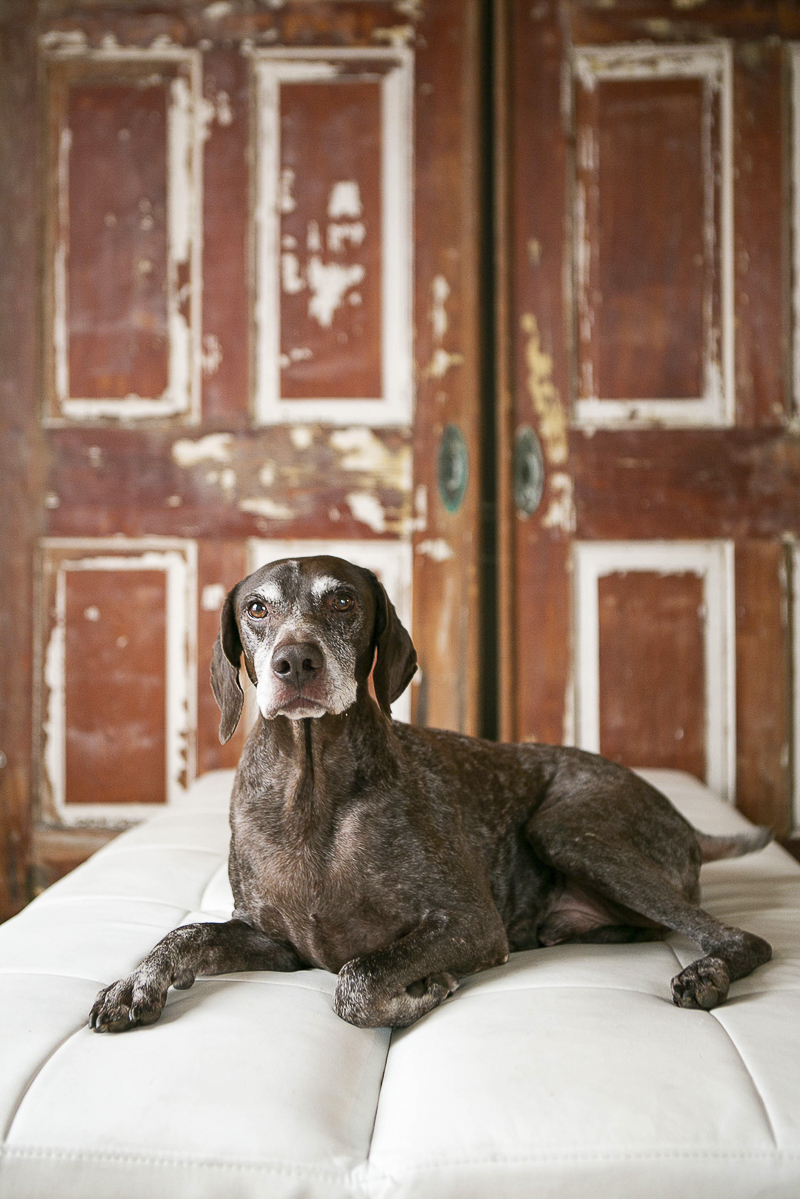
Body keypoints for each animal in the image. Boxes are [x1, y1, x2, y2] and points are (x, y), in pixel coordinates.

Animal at [90, 551, 772, 1031]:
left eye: (343, 600)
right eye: (257, 609)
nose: (295, 662)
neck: (311, 791)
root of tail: (687, 822)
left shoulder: (471, 924)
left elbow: (358, 980)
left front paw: (426, 989)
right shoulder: (278, 943)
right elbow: (184, 936)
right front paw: (133, 984)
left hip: (568, 832)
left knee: (743, 938)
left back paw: (707, 975)